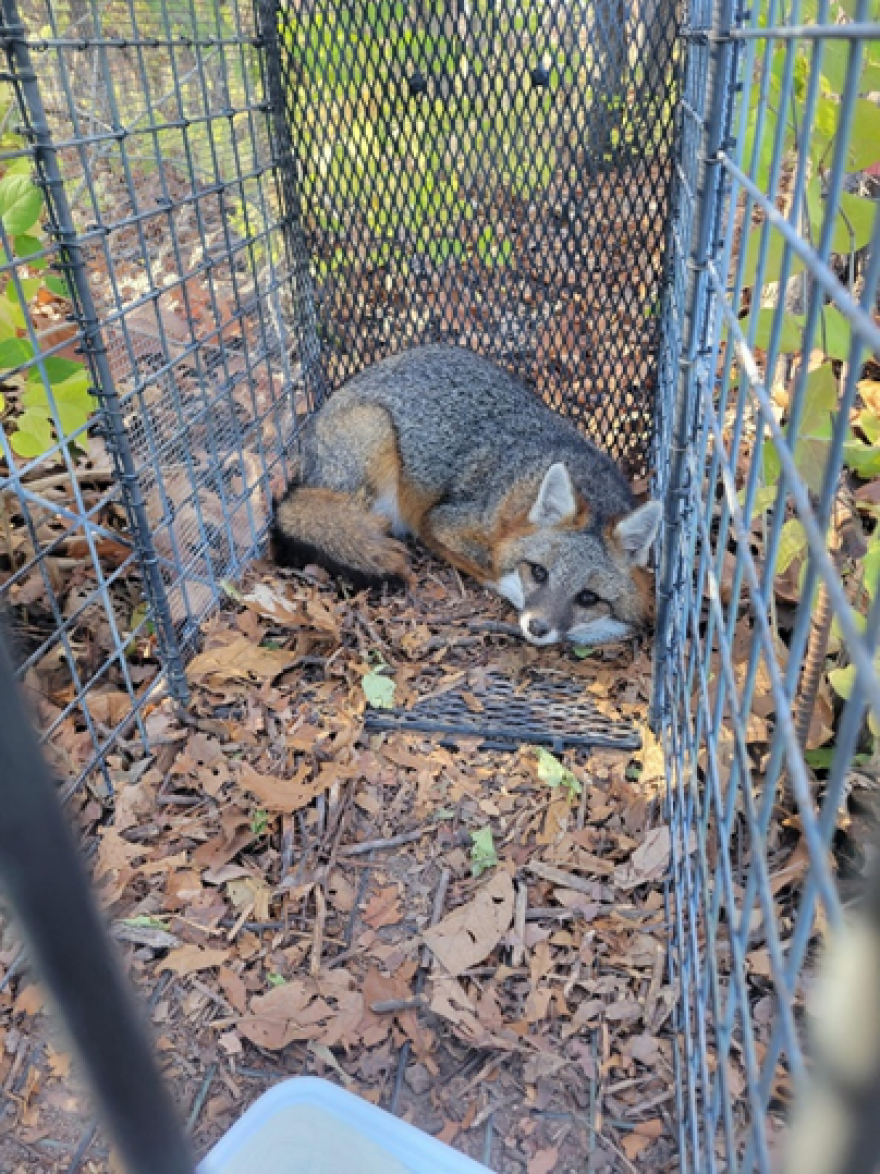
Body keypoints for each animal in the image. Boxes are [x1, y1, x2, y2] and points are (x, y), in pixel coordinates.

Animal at [275, 342, 661, 648]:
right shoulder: (440, 523)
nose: (537, 628)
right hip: (376, 445)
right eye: (539, 573)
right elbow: (494, 569)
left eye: (587, 597)